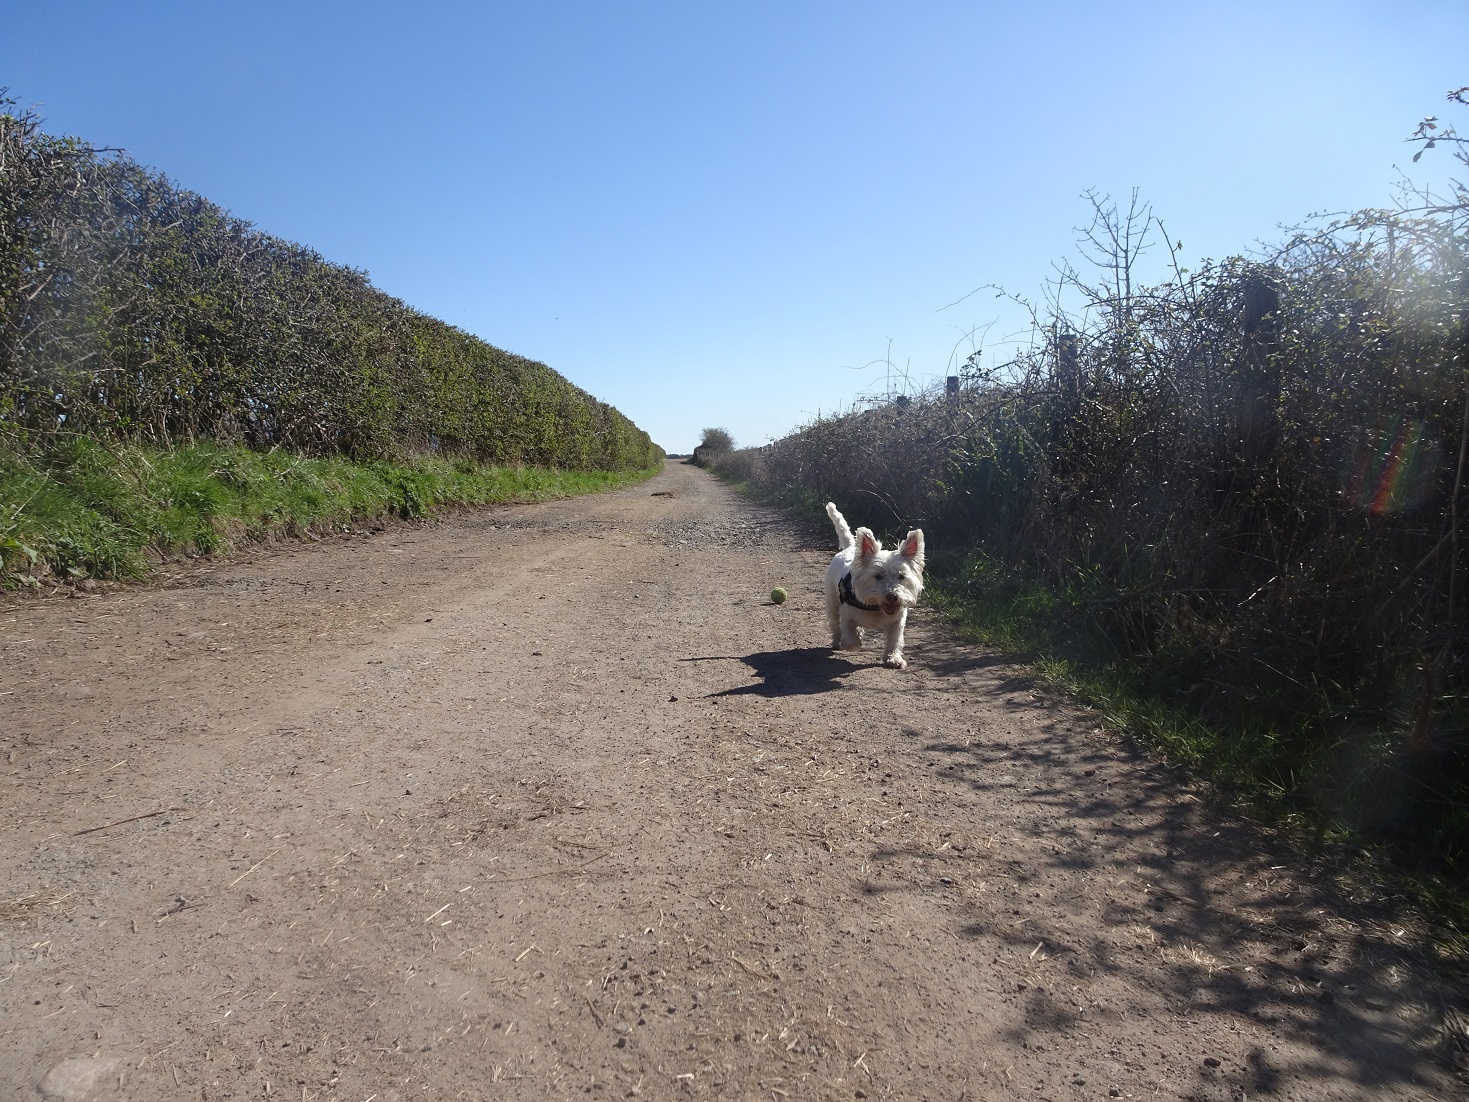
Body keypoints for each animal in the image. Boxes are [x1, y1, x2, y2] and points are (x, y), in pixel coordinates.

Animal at [822, 502, 922, 672]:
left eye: (901, 576)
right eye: (878, 576)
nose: (892, 596)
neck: (877, 607)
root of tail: (850, 548)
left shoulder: (897, 621)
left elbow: (894, 640)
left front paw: (893, 659)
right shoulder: (847, 614)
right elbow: (850, 637)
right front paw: (853, 641)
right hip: (833, 601)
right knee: (835, 623)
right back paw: (837, 640)